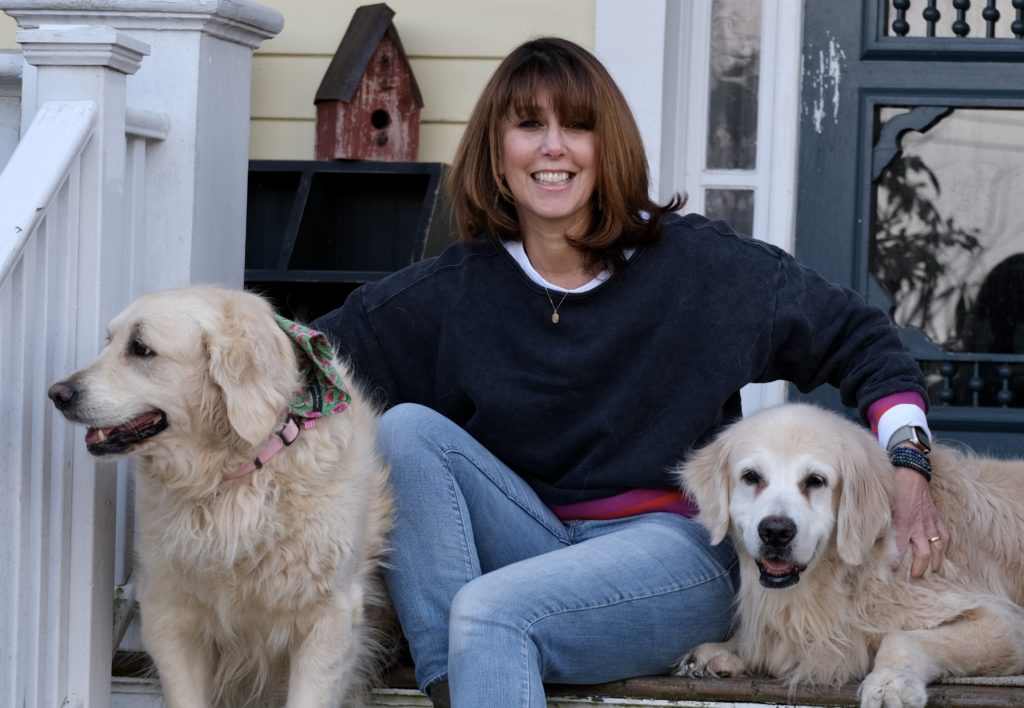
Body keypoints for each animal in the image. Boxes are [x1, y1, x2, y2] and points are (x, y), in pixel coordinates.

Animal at [48, 284, 393, 704]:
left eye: (141, 348)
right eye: (109, 341)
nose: (57, 394)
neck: (232, 477)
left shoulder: (331, 618)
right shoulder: (166, 609)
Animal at [671, 403, 1024, 708]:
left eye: (815, 481)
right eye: (751, 477)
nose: (775, 531)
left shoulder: (1003, 624)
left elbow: (899, 637)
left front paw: (889, 683)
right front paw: (724, 650)